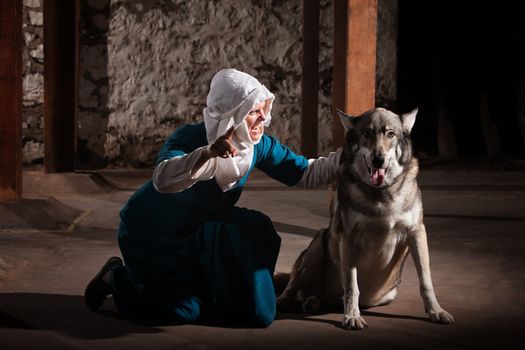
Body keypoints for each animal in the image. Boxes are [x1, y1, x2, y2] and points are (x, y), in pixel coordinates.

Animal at [276, 108, 452, 330]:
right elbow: (352, 286)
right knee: (293, 286)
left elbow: (426, 281)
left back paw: (313, 302)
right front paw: (352, 316)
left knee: (318, 296)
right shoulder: (348, 237)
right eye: (367, 133)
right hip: (317, 246)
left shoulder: (417, 232)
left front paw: (436, 311)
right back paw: (286, 301)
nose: (378, 159)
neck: (381, 193)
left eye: (390, 134)